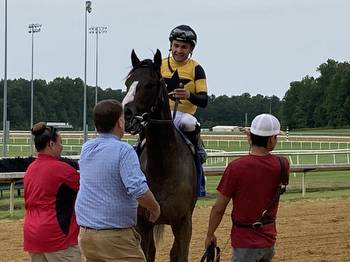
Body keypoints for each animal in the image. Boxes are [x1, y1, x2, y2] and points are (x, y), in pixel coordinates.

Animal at [123, 49, 198, 262]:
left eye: (150, 84)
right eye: (127, 83)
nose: (126, 114)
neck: (163, 167)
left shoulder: (183, 222)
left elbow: (179, 254)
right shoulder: (143, 222)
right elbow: (147, 253)